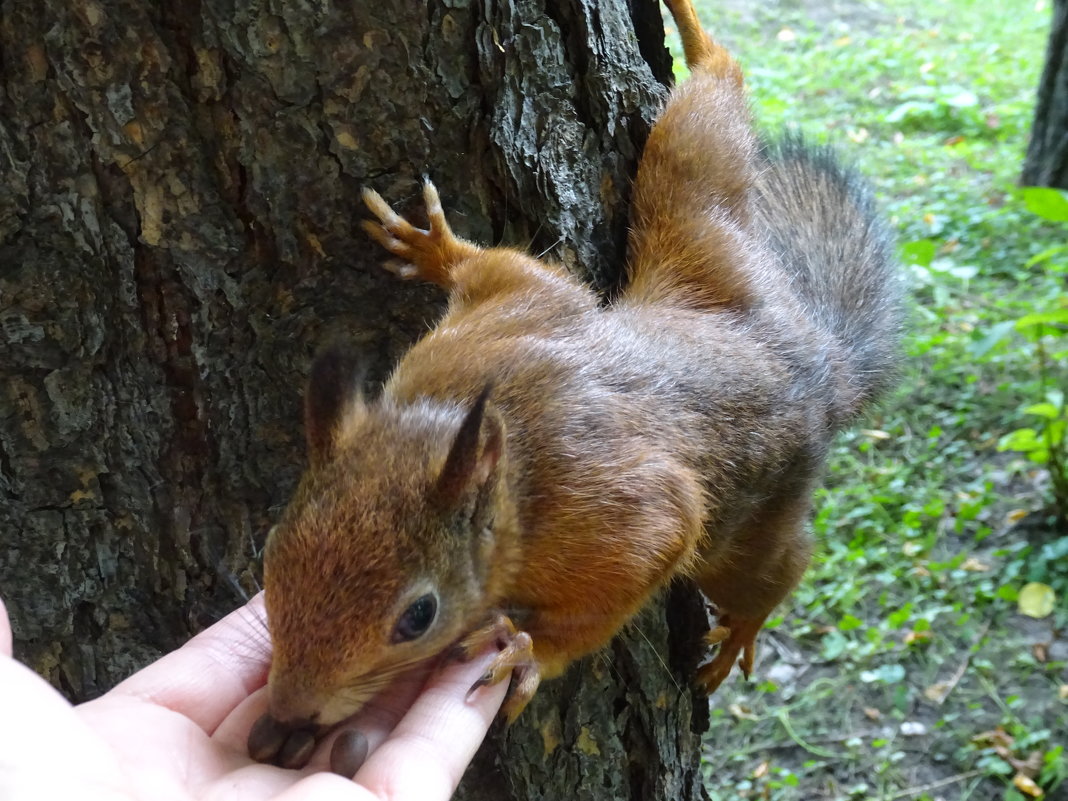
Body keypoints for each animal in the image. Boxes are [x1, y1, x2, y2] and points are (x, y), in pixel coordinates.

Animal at [245, 0, 897, 777]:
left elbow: (640, 560)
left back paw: (743, 627)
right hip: (711, 245)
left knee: (775, 567)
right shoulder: (505, 315)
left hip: (748, 524)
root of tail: (817, 359)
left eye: (418, 616)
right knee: (703, 156)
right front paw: (436, 250)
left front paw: (531, 651)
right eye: (272, 550)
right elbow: (512, 272)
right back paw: (701, 43)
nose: (291, 710)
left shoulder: (610, 515)